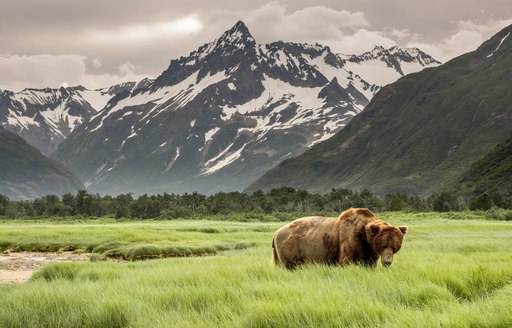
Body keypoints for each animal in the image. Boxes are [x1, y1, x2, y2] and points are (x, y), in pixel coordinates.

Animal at [272, 208, 408, 270]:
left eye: (395, 247)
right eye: (384, 245)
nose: (387, 262)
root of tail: (276, 232)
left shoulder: (369, 250)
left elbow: (369, 263)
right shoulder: (349, 239)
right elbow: (346, 260)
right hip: (291, 247)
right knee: (290, 265)